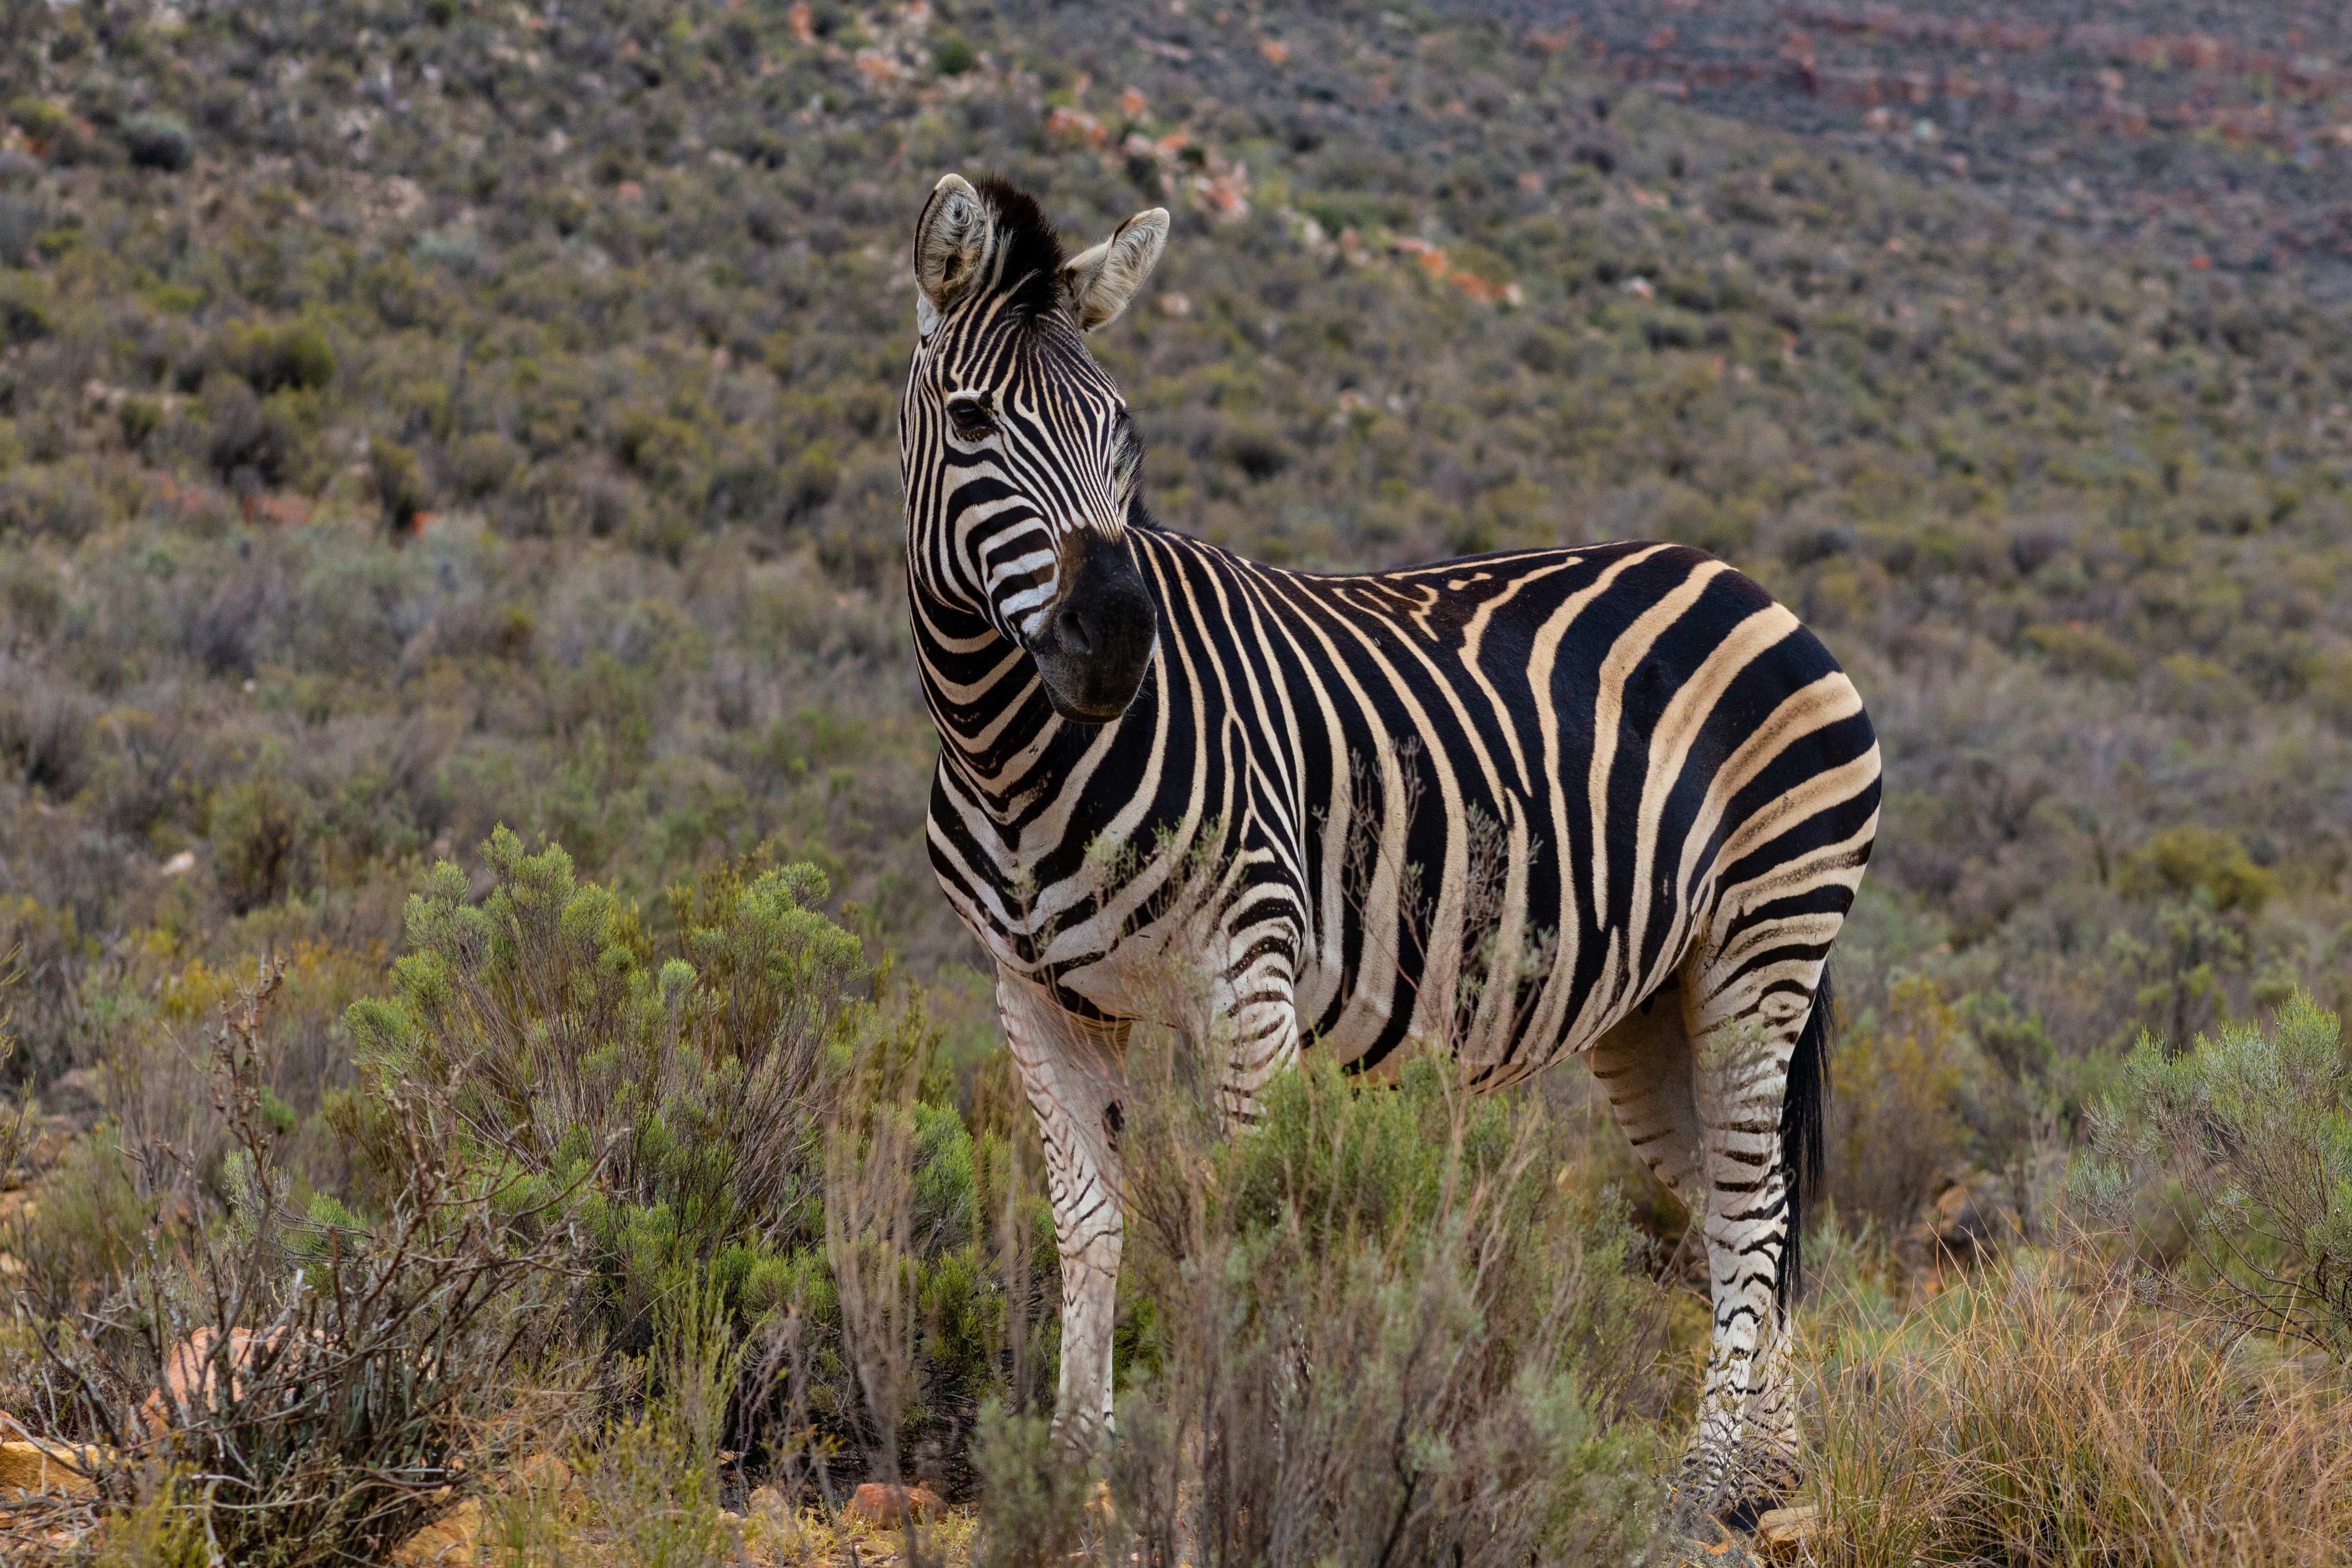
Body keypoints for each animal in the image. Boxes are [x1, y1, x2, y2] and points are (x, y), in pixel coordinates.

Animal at [889, 172, 1882, 1504]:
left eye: (1121, 433)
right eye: (974, 419)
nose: (1115, 641)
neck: (1011, 757)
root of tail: (1749, 584)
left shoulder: (1246, 976)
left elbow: (1248, 1222)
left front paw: (1239, 1460)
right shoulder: (1038, 995)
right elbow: (1090, 1224)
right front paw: (1072, 1473)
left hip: (1761, 946)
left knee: (1751, 1205)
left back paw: (1705, 1480)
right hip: (1654, 1003)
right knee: (1747, 1210)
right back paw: (1770, 1474)